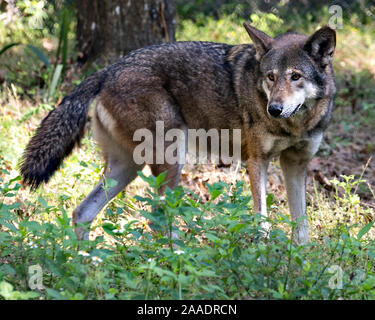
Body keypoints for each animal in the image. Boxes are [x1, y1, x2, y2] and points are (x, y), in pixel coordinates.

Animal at [20, 23, 338, 242]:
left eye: (295, 76)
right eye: (270, 77)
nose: (274, 108)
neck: (295, 124)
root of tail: (111, 68)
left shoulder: (295, 164)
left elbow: (301, 227)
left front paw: (300, 263)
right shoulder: (257, 161)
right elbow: (262, 222)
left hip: (128, 168)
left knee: (82, 213)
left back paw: (88, 264)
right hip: (172, 157)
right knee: (157, 221)